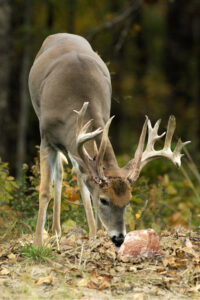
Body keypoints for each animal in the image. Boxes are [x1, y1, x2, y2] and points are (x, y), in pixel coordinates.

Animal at [28, 34, 191, 247]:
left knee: (75, 177)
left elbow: (84, 186)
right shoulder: (46, 137)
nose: (119, 238)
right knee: (60, 175)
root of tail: (61, 34)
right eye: (104, 200)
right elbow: (45, 190)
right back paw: (55, 232)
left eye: (128, 200)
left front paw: (94, 234)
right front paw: (38, 242)